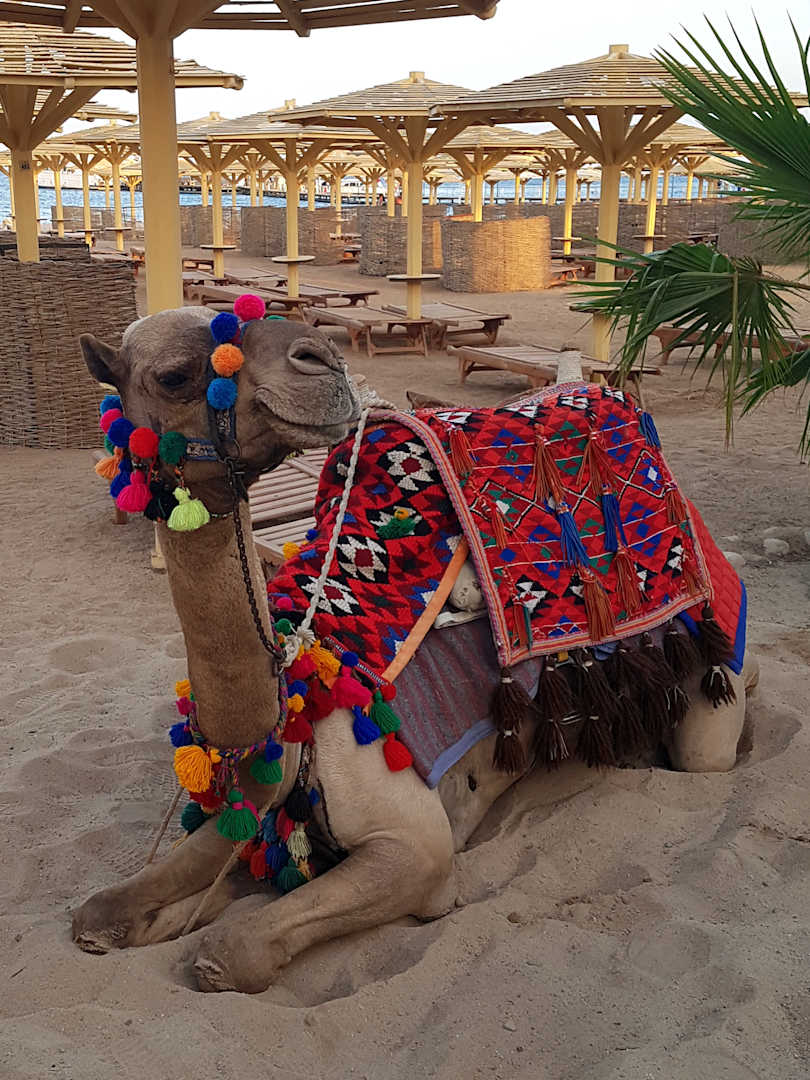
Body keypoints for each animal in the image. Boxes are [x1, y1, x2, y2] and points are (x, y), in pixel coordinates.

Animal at [73, 306, 757, 994]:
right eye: (174, 375)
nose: (321, 359)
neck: (300, 700)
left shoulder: (417, 846)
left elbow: (231, 951)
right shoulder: (248, 818)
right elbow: (100, 912)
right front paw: (125, 923)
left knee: (713, 731)